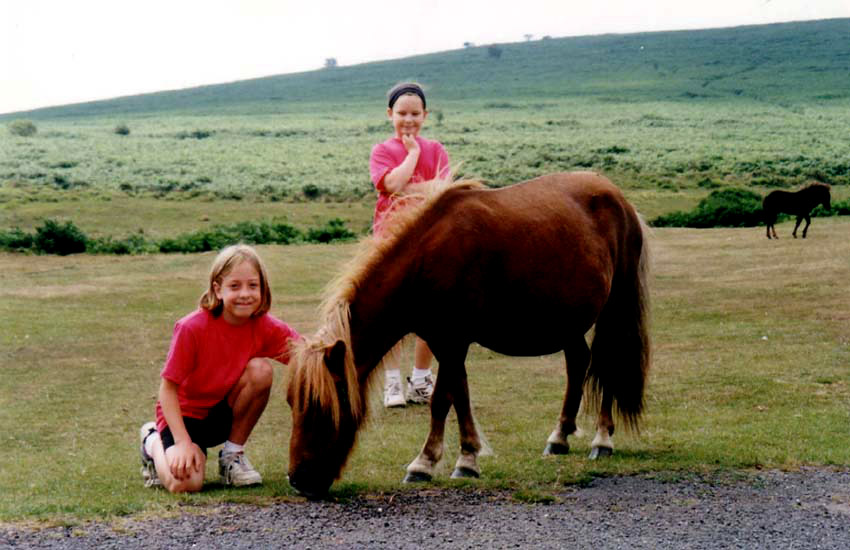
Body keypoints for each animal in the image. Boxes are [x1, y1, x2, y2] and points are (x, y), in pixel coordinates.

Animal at [284, 171, 648, 500]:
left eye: (321, 407)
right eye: (291, 402)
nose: (299, 480)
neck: (427, 257)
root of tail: (618, 197)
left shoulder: (454, 341)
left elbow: (441, 399)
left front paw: (433, 462)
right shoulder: (443, 342)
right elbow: (458, 394)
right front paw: (458, 459)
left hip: (614, 307)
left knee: (609, 363)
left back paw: (602, 440)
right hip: (568, 319)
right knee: (578, 364)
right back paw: (559, 438)